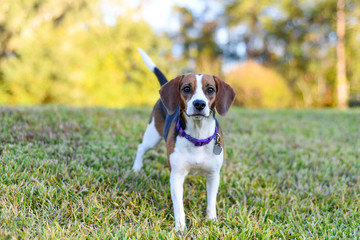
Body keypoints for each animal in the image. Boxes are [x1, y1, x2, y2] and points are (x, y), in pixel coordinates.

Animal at [132, 48, 236, 231]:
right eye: (187, 88)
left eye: (210, 90)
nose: (199, 104)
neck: (197, 137)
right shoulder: (176, 176)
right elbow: (179, 206)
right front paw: (180, 228)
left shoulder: (213, 175)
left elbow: (211, 202)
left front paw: (212, 221)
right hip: (152, 135)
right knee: (140, 148)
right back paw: (137, 167)